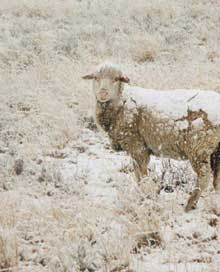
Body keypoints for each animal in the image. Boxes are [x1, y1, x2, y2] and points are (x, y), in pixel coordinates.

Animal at [82, 62, 220, 211]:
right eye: (96, 78)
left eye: (116, 79)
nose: (103, 93)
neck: (121, 102)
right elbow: (137, 174)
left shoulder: (136, 145)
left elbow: (142, 174)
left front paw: (147, 196)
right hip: (215, 150)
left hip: (198, 147)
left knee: (204, 177)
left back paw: (189, 205)